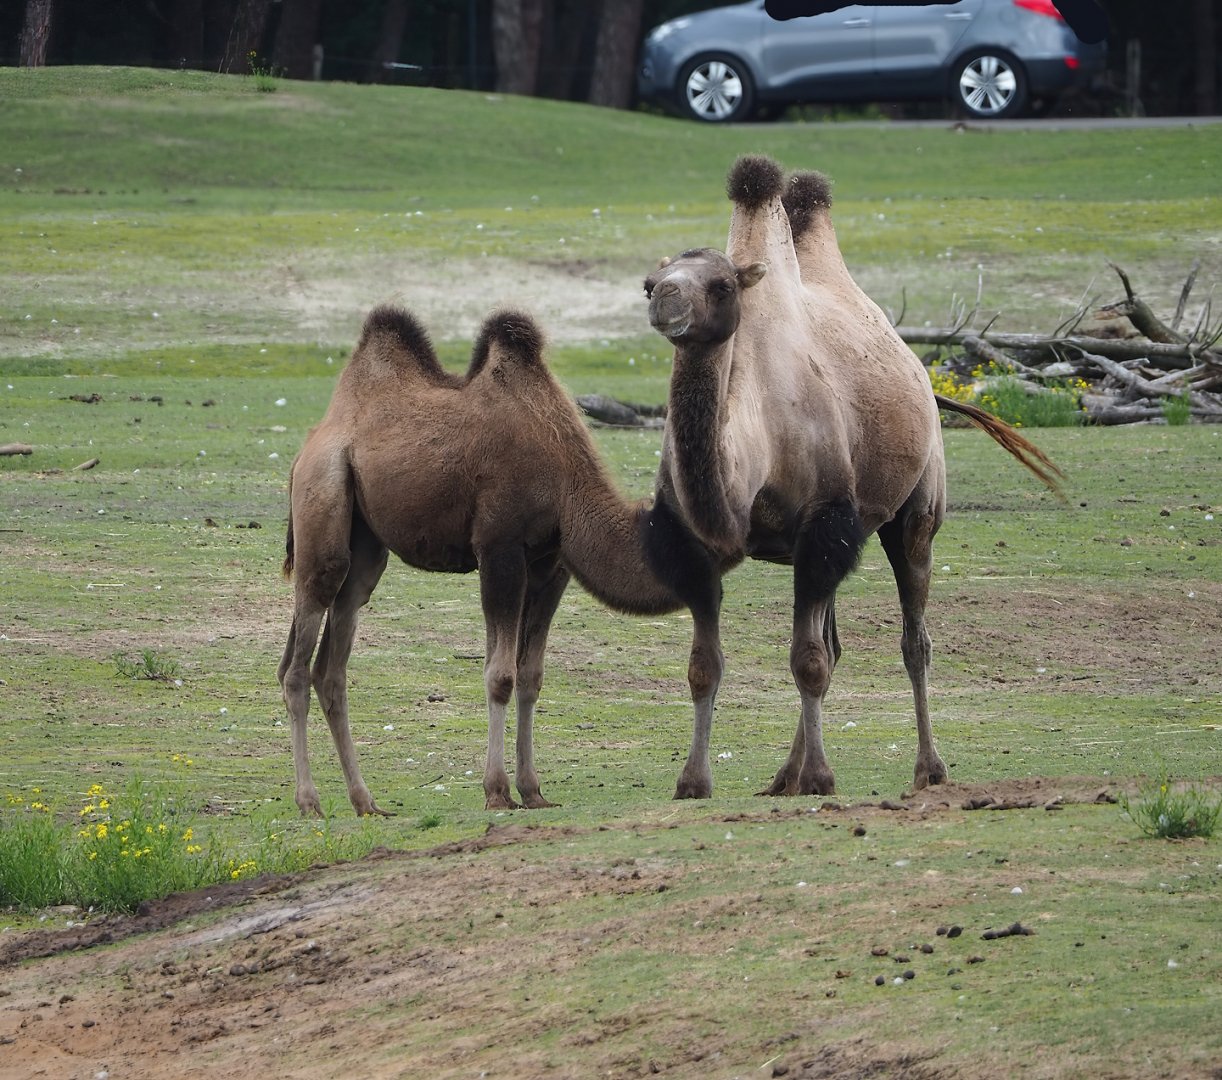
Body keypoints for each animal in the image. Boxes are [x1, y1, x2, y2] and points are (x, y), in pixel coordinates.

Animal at [278, 305, 697, 816]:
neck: (567, 484)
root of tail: (309, 446)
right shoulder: (500, 548)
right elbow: (500, 675)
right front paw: (497, 791)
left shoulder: (551, 565)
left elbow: (531, 675)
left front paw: (533, 791)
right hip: (323, 504)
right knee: (298, 659)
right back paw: (309, 802)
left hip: (366, 545)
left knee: (332, 662)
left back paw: (366, 802)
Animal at [642, 154, 1062, 799]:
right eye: (653, 280)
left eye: (721, 285)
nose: (663, 297)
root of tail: (922, 375)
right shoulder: (701, 544)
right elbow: (705, 666)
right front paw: (694, 781)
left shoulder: (823, 523)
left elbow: (808, 661)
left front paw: (820, 777)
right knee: (835, 643)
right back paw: (783, 777)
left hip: (913, 514)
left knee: (913, 638)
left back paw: (927, 769)